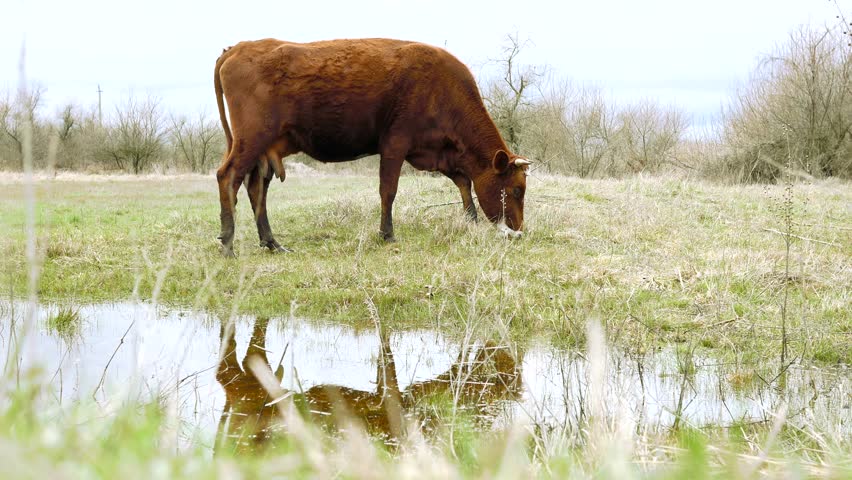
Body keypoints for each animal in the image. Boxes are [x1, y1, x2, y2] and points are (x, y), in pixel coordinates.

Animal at [214, 38, 531, 257]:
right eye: (516, 190)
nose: (519, 232)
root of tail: (238, 47)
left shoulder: (434, 152)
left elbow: (464, 181)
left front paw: (470, 219)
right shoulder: (395, 143)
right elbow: (388, 190)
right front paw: (387, 234)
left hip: (265, 149)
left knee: (256, 189)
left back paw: (272, 243)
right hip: (250, 139)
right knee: (228, 177)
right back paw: (228, 244)